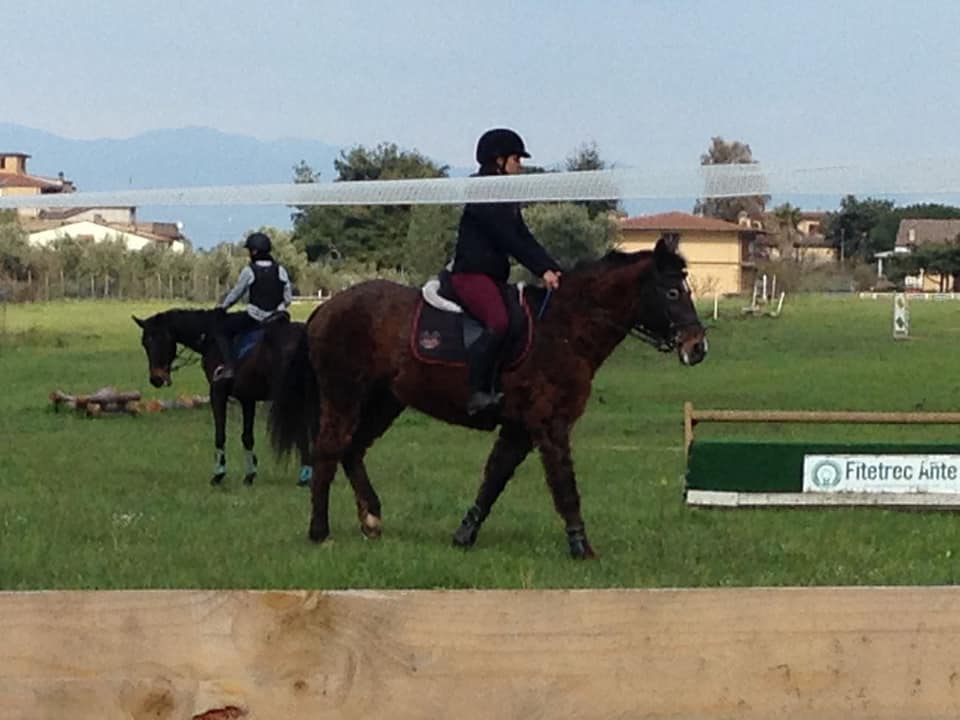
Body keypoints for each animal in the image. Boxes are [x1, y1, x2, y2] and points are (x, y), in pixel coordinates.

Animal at [133, 308, 314, 487]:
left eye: (161, 339)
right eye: (144, 343)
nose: (156, 379)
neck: (209, 338)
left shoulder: (217, 393)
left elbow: (220, 435)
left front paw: (218, 475)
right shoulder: (247, 398)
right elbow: (247, 437)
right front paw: (249, 475)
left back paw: (305, 476)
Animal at [269, 237, 708, 558]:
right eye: (672, 292)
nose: (698, 347)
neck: (566, 328)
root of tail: (326, 308)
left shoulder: (519, 427)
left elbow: (494, 478)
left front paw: (464, 534)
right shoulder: (549, 422)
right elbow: (564, 484)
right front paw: (581, 546)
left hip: (385, 401)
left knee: (353, 448)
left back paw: (371, 519)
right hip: (345, 394)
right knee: (330, 449)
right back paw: (320, 531)